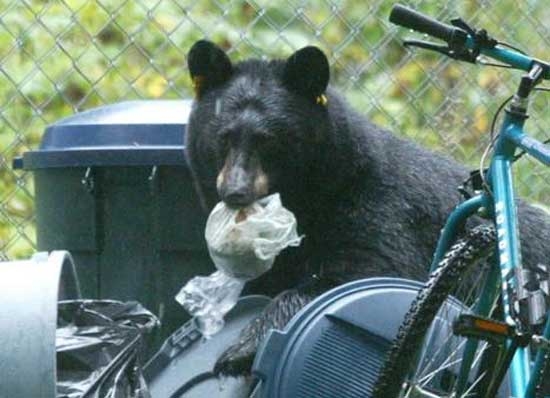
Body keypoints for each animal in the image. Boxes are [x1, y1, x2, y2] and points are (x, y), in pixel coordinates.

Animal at [184, 39, 550, 376]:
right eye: (223, 137)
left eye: (269, 140)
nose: (236, 191)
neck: (311, 196)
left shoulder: (380, 210)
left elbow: (369, 270)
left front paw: (239, 348)